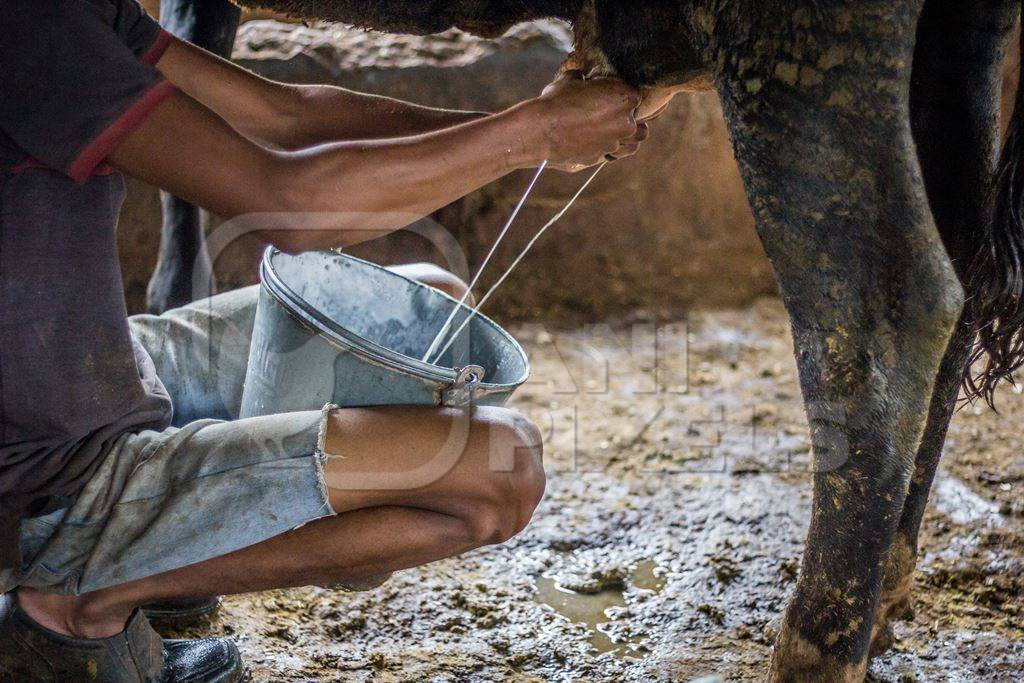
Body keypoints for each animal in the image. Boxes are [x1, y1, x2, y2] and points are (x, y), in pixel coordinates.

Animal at [151, 2, 1024, 679]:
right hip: (954, 53)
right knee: (960, 277)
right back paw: (888, 590)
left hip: (798, 53)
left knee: (882, 311)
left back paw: (813, 648)